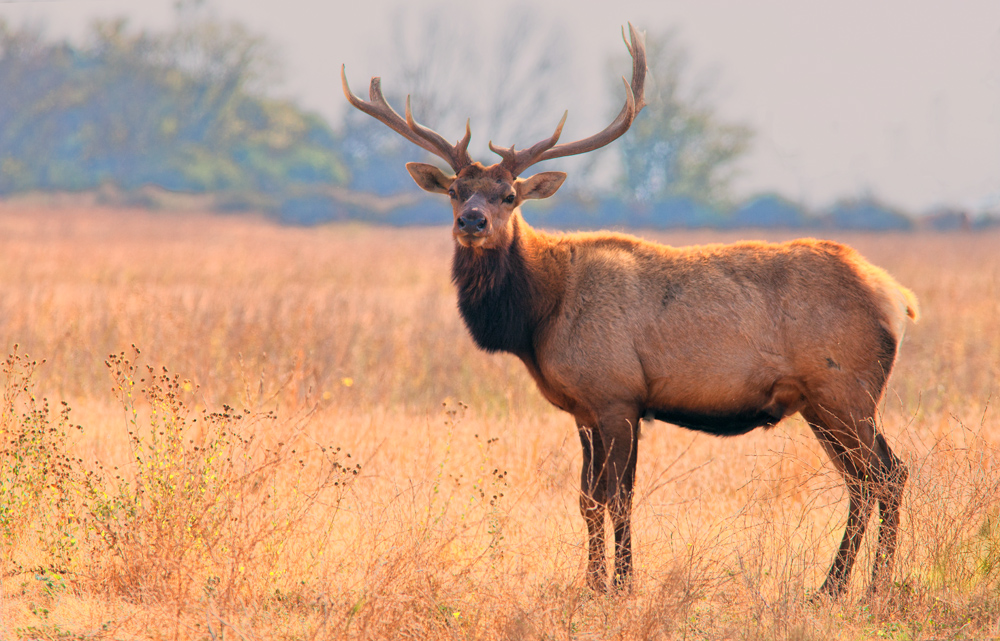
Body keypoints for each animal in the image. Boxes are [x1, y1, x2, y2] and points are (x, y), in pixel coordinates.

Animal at [341, 24, 918, 599]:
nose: (472, 222)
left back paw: (872, 588)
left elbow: (617, 497)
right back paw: (834, 587)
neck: (539, 316)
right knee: (865, 480)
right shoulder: (584, 408)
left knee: (888, 474)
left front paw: (620, 584)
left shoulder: (617, 394)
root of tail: (897, 298)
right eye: (456, 191)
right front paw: (595, 582)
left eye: (509, 195)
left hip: (847, 389)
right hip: (821, 401)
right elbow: (586, 499)